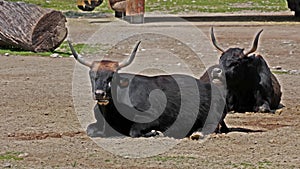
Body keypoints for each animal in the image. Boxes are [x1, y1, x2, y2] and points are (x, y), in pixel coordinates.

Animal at [68, 41, 225, 139]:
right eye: (92, 75)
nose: (100, 94)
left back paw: (197, 133)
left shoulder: (151, 116)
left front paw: (155, 133)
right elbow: (90, 129)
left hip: (212, 116)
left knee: (210, 127)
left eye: (113, 76)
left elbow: (134, 130)